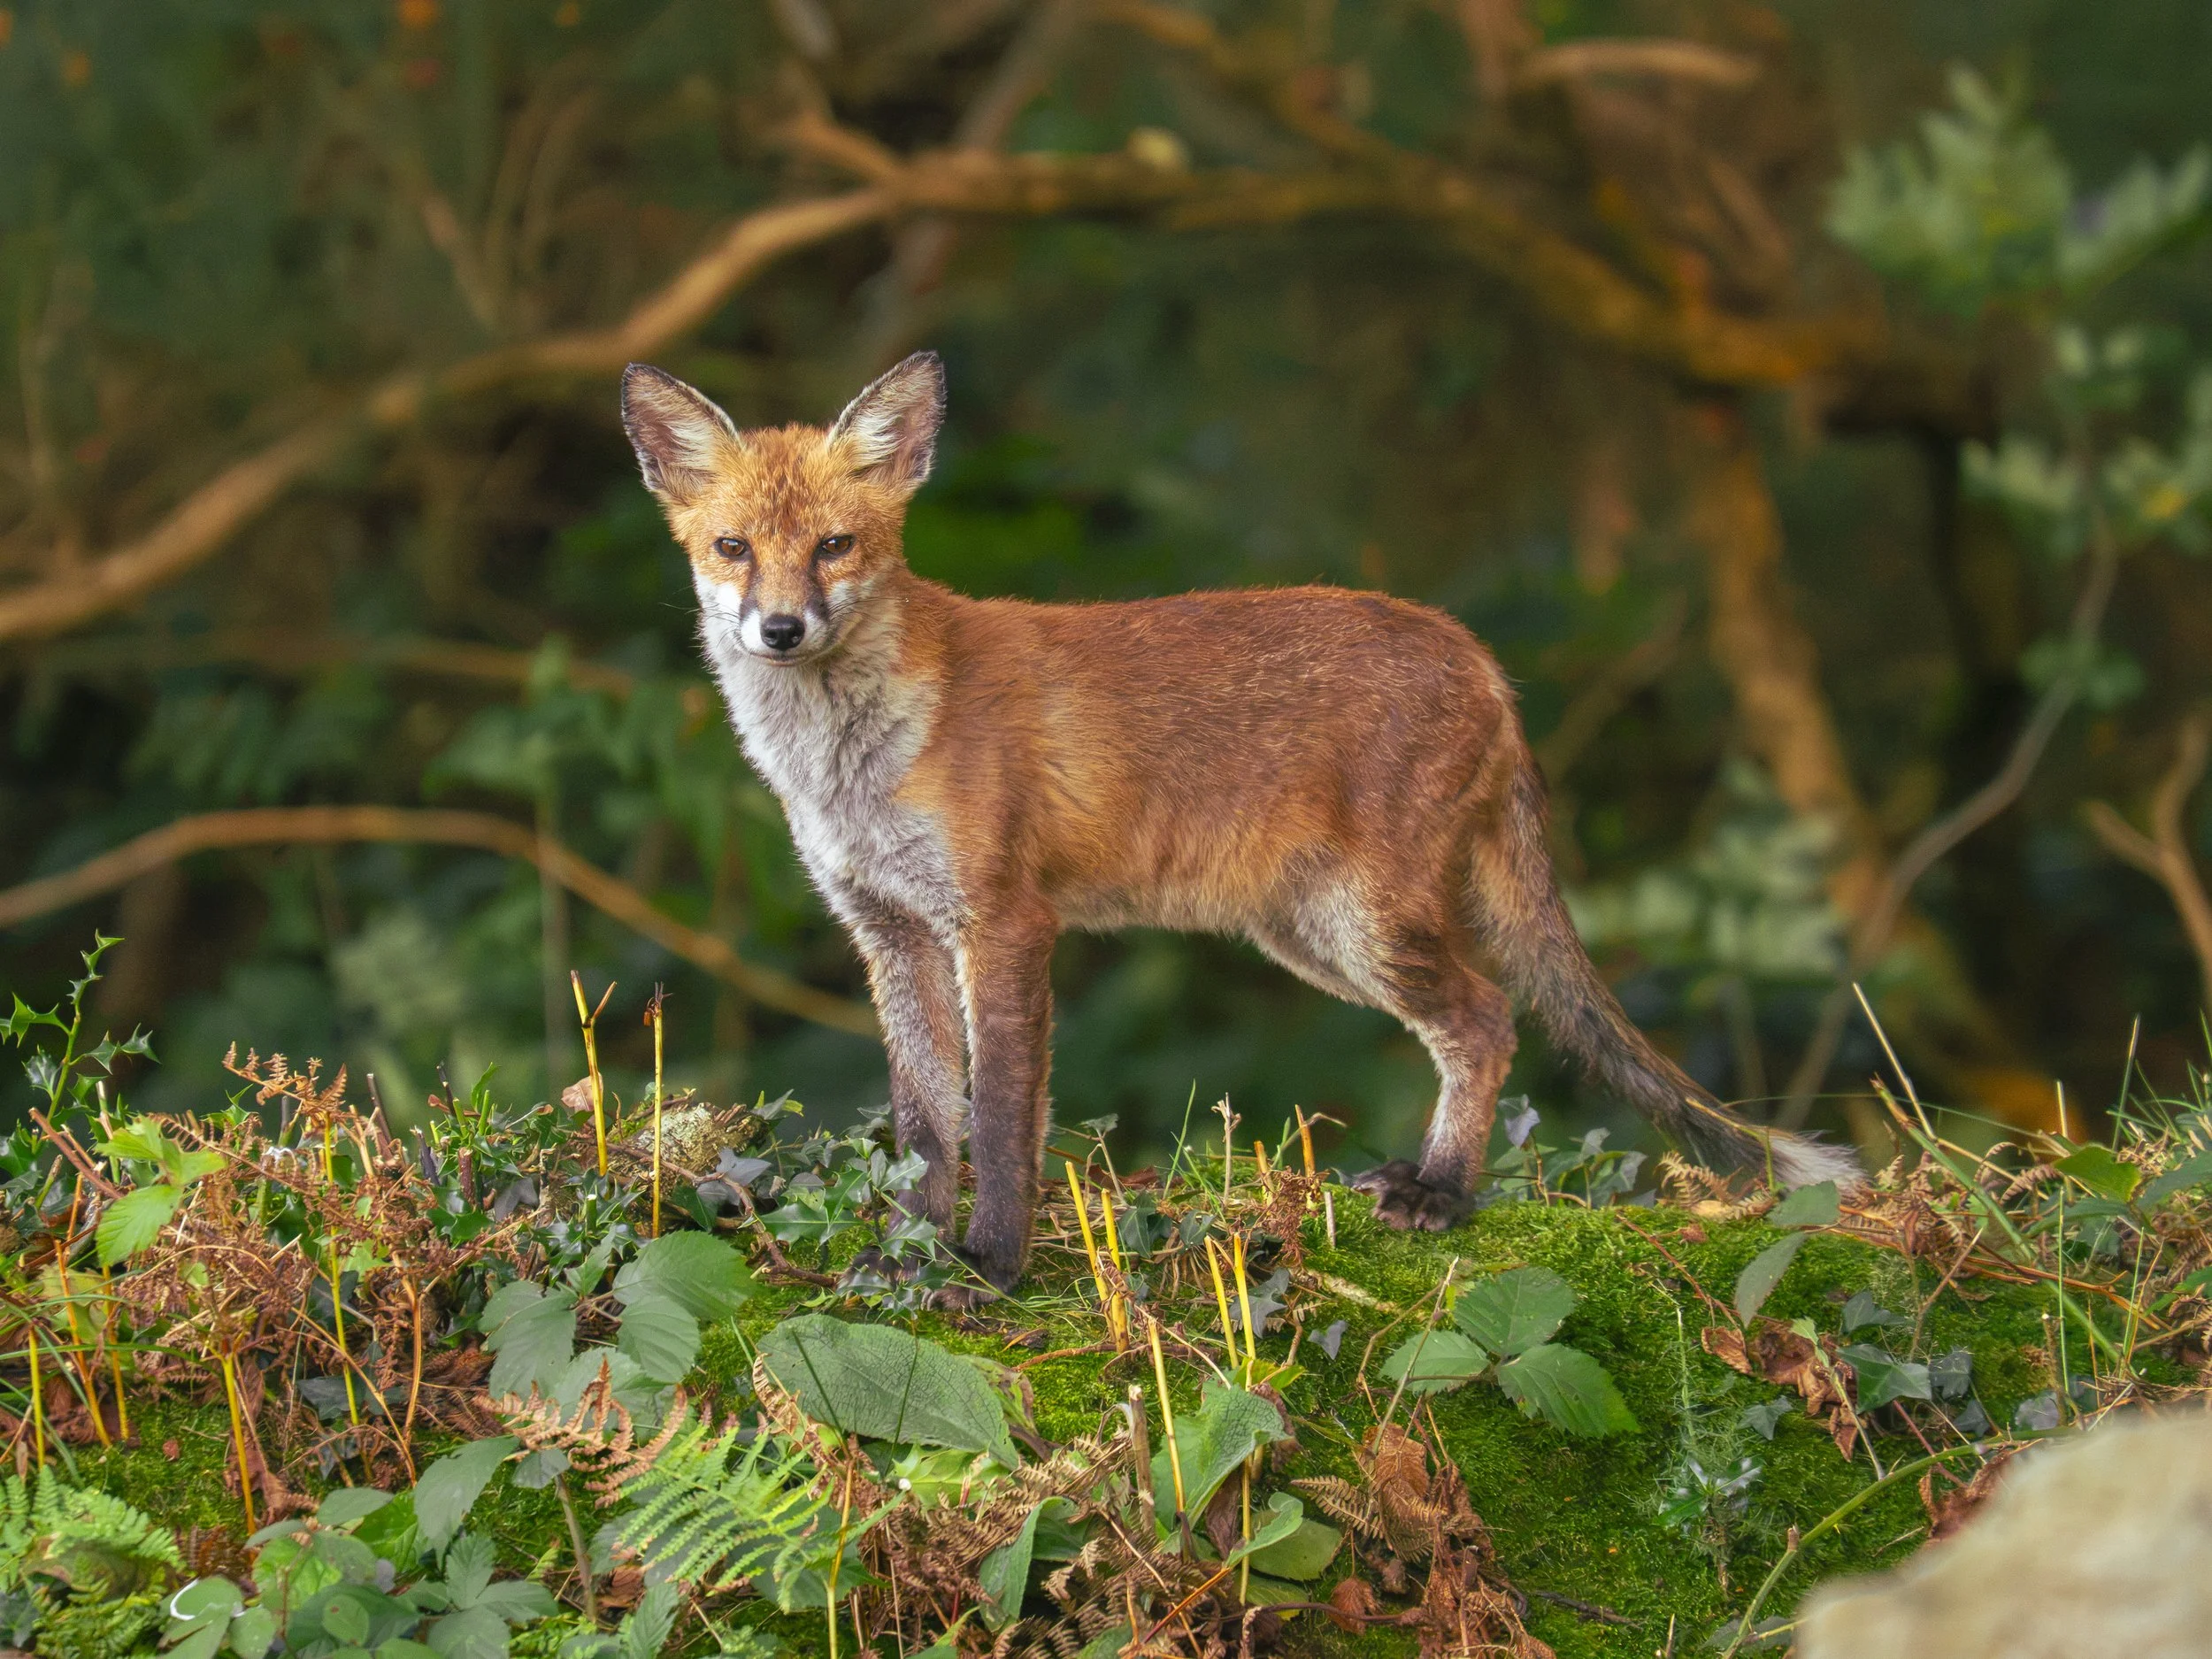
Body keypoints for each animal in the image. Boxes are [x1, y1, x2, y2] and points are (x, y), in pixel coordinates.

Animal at [620, 349, 1858, 1301]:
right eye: (733, 548)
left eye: (834, 546)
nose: (781, 629)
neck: (849, 765)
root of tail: (1474, 654)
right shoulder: (892, 932)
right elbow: (927, 1123)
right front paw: (911, 1258)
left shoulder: (1005, 924)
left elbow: (1004, 1123)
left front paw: (993, 1267)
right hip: (1308, 938)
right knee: (1479, 1020)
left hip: (1367, 927)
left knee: (1490, 1015)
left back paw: (1442, 1193)